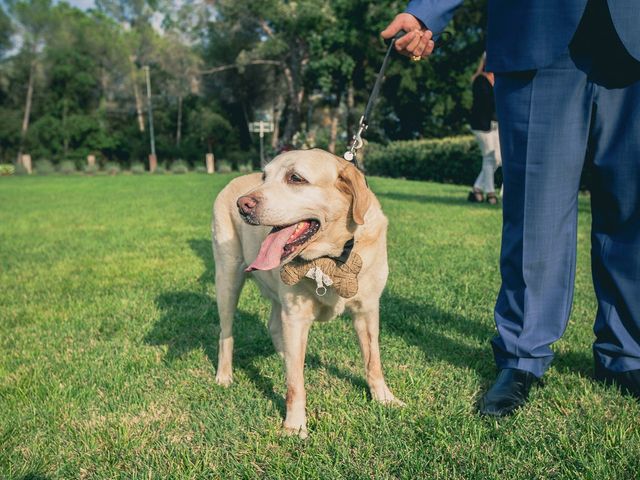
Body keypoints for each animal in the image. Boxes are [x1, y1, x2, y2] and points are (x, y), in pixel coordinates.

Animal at [210, 150, 400, 438]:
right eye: (264, 176)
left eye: (296, 178)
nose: (243, 204)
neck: (330, 258)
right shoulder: (296, 316)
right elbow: (295, 384)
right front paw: (294, 425)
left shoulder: (367, 310)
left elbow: (373, 361)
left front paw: (384, 398)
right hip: (228, 279)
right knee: (226, 332)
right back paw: (225, 375)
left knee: (274, 327)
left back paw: (285, 357)